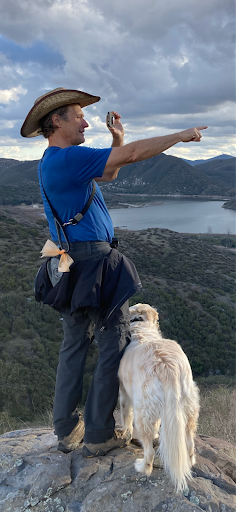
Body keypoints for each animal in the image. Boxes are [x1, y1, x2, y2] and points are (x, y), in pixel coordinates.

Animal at [118, 304, 199, 492]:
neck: (142, 327)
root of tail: (167, 365)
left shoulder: (124, 393)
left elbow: (125, 417)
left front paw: (124, 432)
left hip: (143, 410)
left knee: (149, 450)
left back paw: (142, 467)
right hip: (189, 402)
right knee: (190, 441)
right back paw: (191, 460)